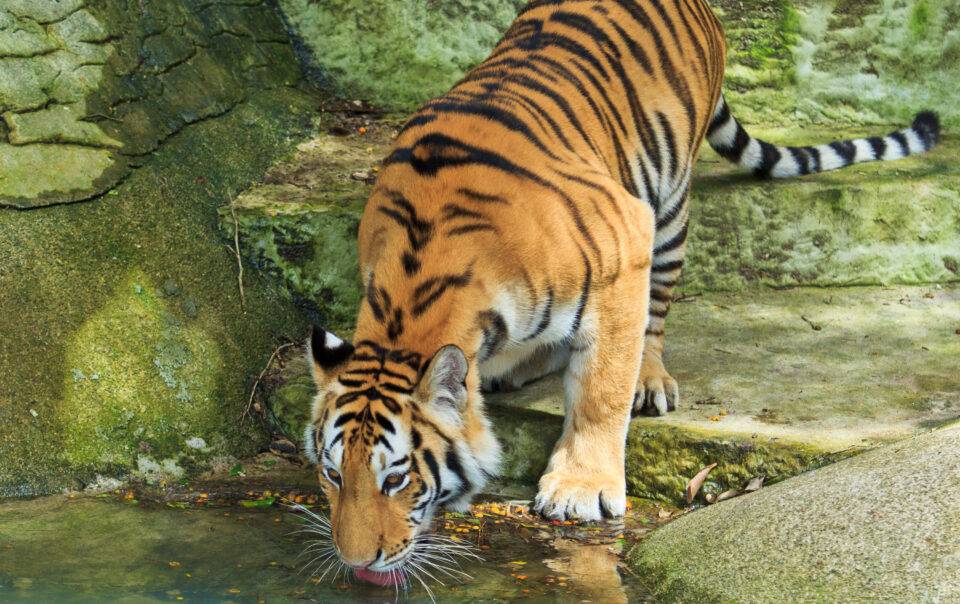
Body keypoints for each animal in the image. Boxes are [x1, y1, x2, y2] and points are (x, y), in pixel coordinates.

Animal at [302, 0, 941, 585]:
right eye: (333, 474)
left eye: (396, 478)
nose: (355, 562)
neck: (416, 291)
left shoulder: (624, 241)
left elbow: (600, 389)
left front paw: (581, 487)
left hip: (669, 204)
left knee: (652, 319)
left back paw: (648, 380)